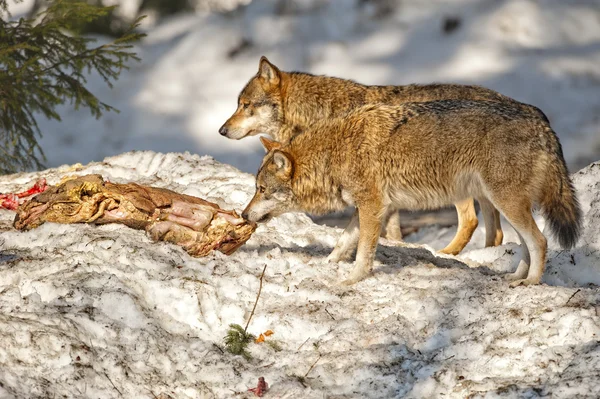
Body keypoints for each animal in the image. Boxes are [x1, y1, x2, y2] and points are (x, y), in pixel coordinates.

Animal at [220, 56, 548, 255]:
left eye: (246, 105)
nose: (222, 130)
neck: (321, 115)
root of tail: (523, 106)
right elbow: (390, 230)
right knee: (495, 232)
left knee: (470, 222)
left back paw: (447, 253)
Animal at [241, 101, 580, 286]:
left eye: (261, 189)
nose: (243, 214)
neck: (332, 153)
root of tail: (543, 123)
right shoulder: (366, 209)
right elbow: (343, 243)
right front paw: (328, 264)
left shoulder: (373, 207)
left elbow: (363, 252)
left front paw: (352, 279)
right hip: (507, 206)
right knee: (527, 245)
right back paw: (517, 277)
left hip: (506, 203)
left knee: (540, 241)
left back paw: (532, 282)